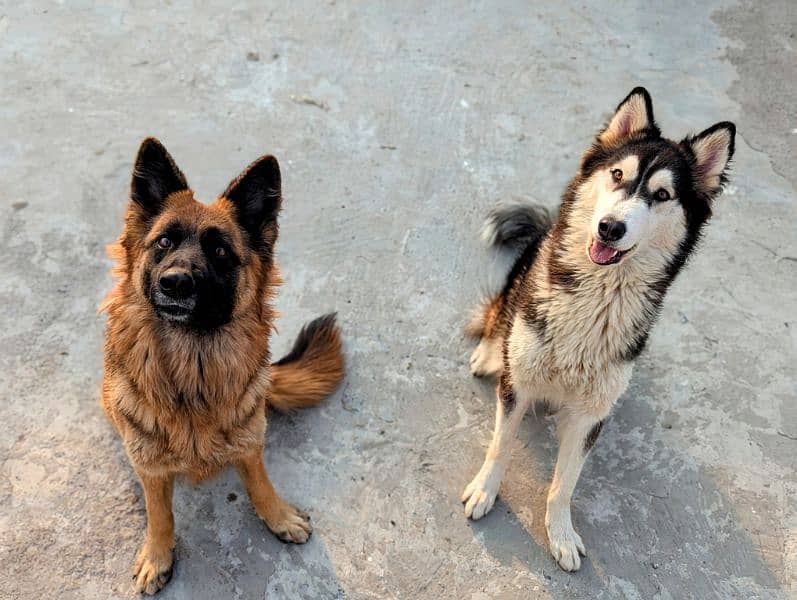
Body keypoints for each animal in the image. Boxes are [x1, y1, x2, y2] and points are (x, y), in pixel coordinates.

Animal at [98, 138, 342, 592]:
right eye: (164, 243)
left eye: (220, 251)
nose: (175, 282)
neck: (192, 369)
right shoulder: (150, 465)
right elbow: (160, 513)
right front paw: (157, 556)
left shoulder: (249, 441)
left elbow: (260, 483)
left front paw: (279, 517)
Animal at [460, 88, 732, 572]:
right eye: (618, 174)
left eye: (662, 194)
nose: (610, 227)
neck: (596, 297)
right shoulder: (518, 386)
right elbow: (500, 446)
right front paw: (485, 490)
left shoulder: (590, 415)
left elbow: (564, 483)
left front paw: (561, 534)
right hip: (518, 282)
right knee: (498, 313)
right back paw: (490, 351)